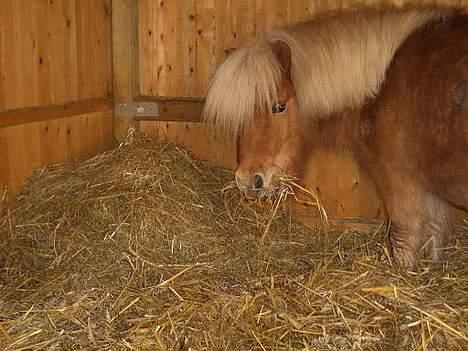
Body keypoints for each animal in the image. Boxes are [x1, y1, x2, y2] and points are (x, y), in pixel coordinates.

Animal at [204, 7, 468, 272]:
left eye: (279, 106)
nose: (247, 181)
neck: (383, 85)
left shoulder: (401, 182)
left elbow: (404, 240)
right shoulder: (430, 188)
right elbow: (436, 236)